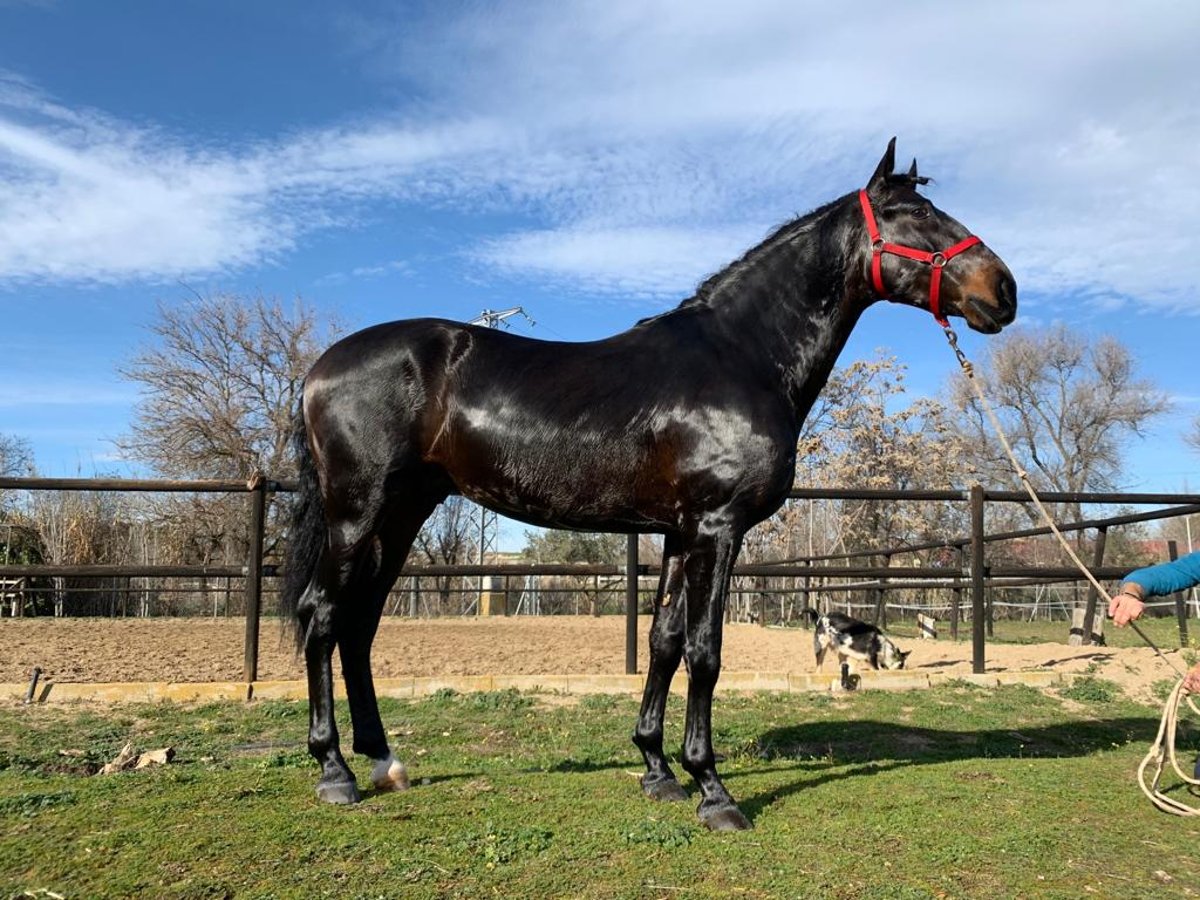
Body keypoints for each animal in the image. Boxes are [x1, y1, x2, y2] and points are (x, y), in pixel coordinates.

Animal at [278, 139, 1012, 830]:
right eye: (915, 213)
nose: (1003, 290)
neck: (739, 358)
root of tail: (319, 369)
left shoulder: (678, 535)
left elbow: (663, 642)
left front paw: (658, 769)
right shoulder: (717, 529)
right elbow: (705, 652)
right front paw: (713, 790)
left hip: (402, 514)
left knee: (359, 626)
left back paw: (384, 761)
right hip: (357, 513)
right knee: (323, 614)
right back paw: (335, 771)